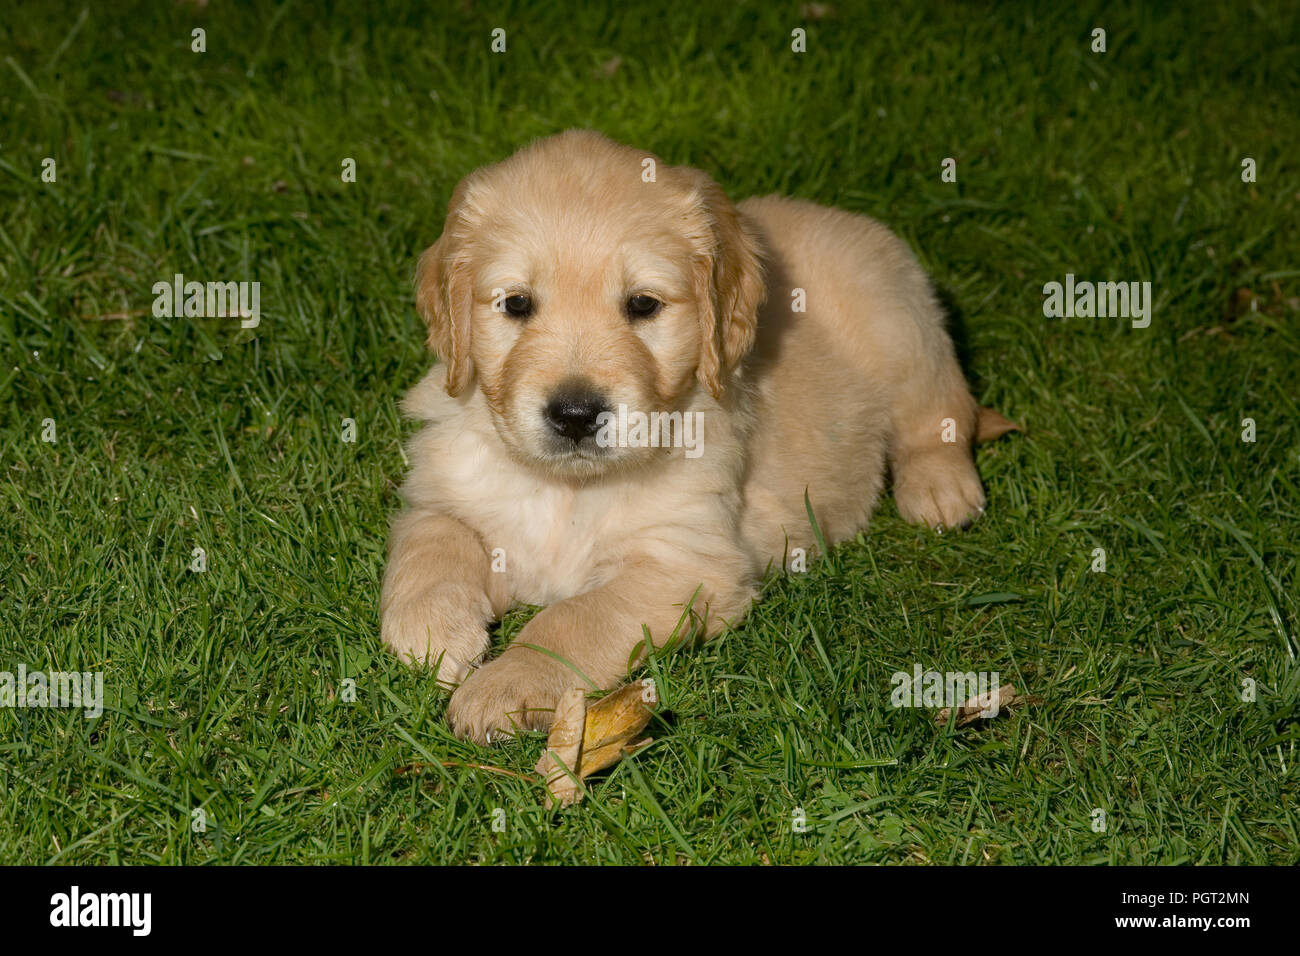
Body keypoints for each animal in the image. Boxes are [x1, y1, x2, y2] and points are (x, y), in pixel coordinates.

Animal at [382, 130, 982, 743]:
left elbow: (572, 618)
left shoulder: (684, 564)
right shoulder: (447, 495)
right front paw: (431, 630)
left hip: (905, 334)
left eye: (643, 304)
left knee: (941, 414)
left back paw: (940, 491)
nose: (575, 414)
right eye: (516, 303)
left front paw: (507, 684)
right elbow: (432, 543)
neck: (569, 489)